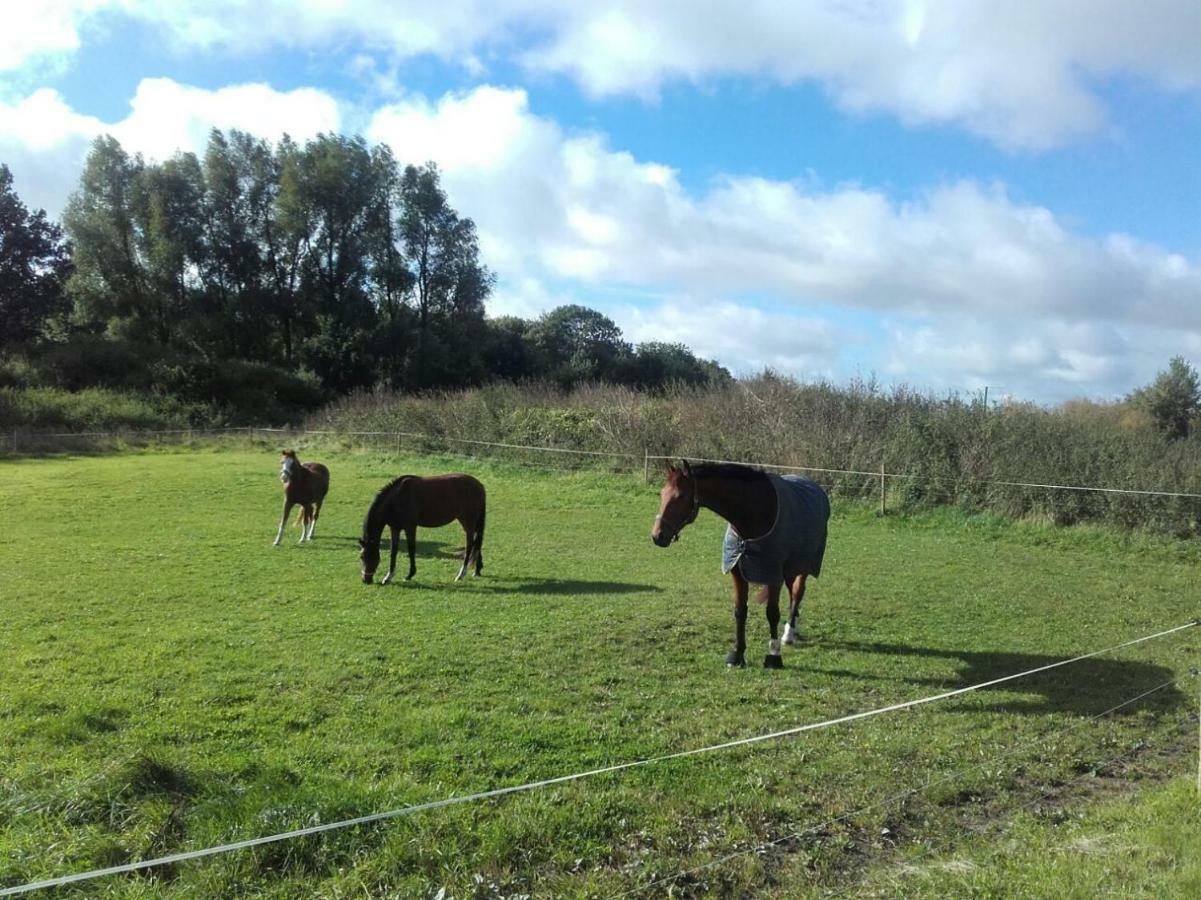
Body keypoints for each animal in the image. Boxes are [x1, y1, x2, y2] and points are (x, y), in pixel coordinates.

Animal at [357, 473, 485, 586]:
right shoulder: (395, 528)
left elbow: (411, 548)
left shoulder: (410, 526)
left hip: (467, 522)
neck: (396, 498)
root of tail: (479, 486)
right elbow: (393, 551)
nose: (365, 580)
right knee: (476, 543)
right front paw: (388, 577)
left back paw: (461, 574)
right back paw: (477, 570)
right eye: (361, 556)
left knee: (470, 545)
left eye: (370, 556)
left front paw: (409, 575)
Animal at [653, 463, 831, 668]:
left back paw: (788, 634)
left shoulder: (773, 575)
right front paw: (737, 654)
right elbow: (740, 611)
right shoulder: (737, 571)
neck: (754, 513)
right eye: (662, 494)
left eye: (681, 496)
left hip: (804, 565)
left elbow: (772, 613)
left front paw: (773, 655)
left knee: (797, 592)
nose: (657, 536)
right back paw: (791, 630)